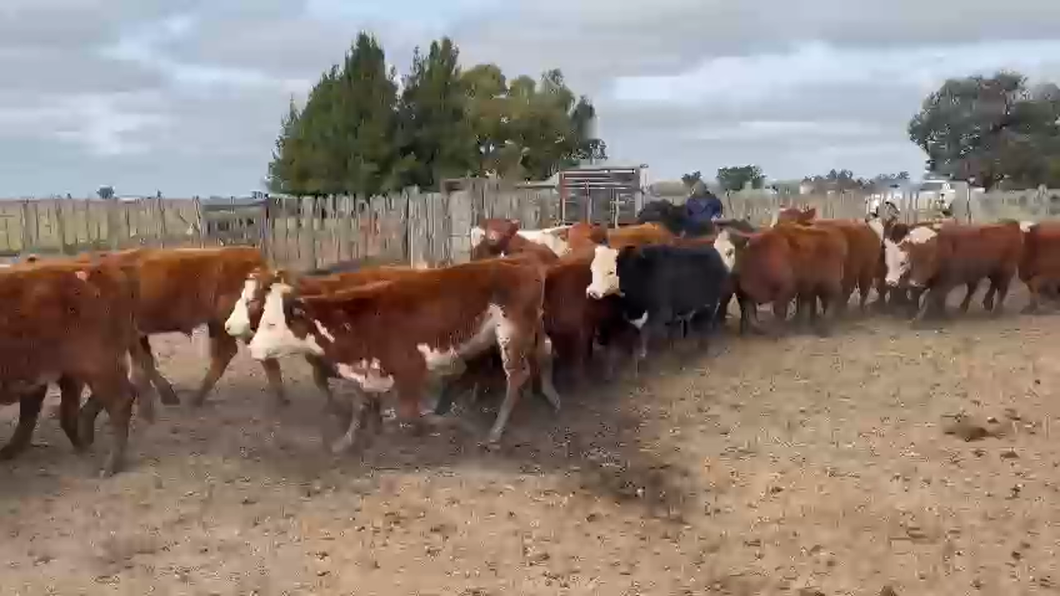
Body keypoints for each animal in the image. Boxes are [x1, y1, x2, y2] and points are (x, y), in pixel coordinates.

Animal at [241, 256, 555, 449]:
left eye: (270, 323)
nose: (252, 348)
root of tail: (522, 261)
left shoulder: (411, 366)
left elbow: (409, 411)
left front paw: (437, 424)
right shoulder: (367, 367)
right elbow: (360, 405)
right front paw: (347, 441)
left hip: (511, 334)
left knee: (516, 376)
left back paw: (495, 431)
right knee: (540, 357)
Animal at [881, 219, 1021, 320]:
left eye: (903, 262)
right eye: (887, 259)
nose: (890, 282)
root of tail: (1011, 224)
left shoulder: (945, 281)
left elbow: (935, 297)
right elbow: (918, 295)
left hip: (1006, 269)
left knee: (1002, 288)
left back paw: (996, 311)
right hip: (990, 270)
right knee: (987, 285)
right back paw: (977, 305)